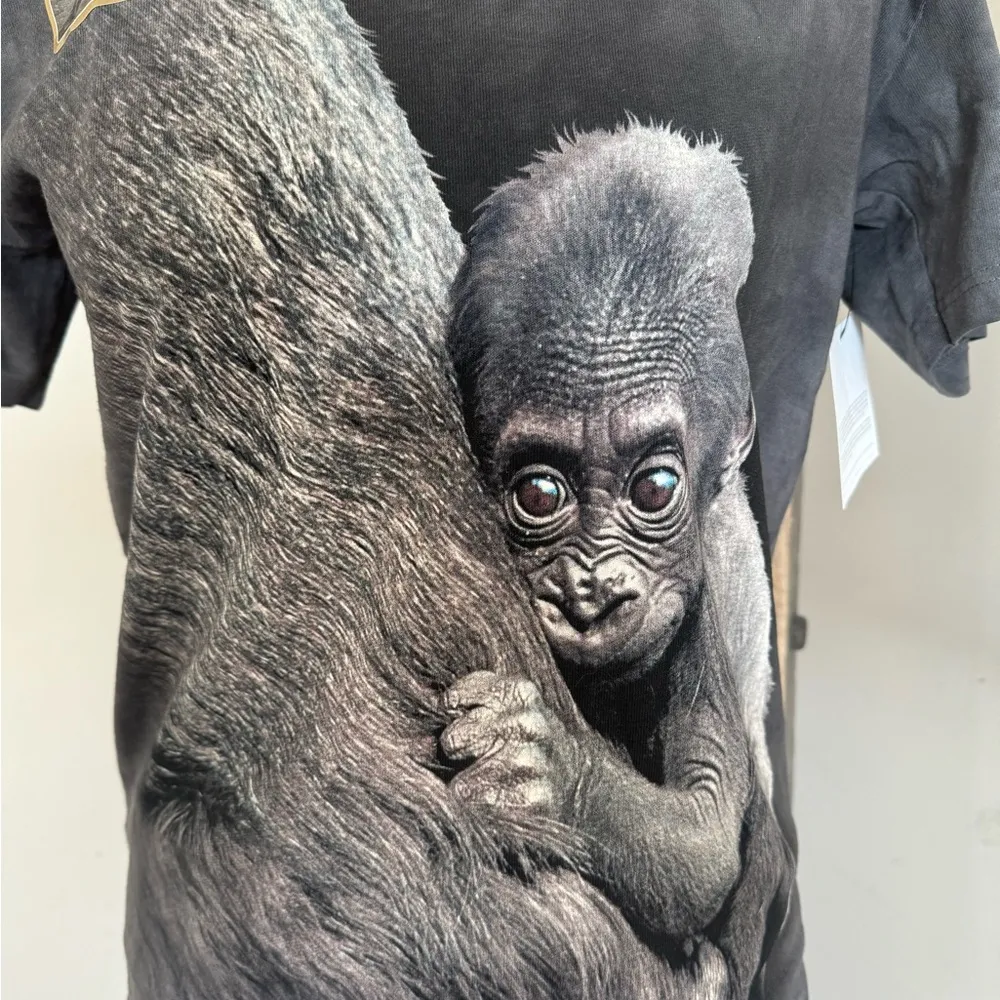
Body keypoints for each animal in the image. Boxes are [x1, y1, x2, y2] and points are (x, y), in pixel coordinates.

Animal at [441, 123, 795, 998]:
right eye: (539, 494)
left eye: (655, 486)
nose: (590, 589)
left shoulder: (699, 612)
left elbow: (702, 841)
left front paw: (553, 774)